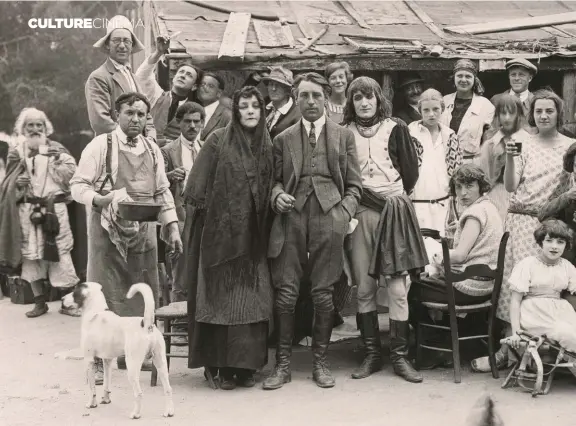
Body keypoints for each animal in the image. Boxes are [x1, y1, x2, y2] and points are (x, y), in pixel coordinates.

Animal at [61, 282, 173, 418]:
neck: (96, 312)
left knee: (139, 393)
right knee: (168, 389)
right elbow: (106, 384)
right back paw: (168, 412)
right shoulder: (107, 360)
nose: (61, 299)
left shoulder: (89, 361)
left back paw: (135, 414)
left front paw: (91, 404)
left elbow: (92, 388)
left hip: (132, 366)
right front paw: (106, 400)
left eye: (74, 291)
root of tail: (146, 324)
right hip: (160, 363)